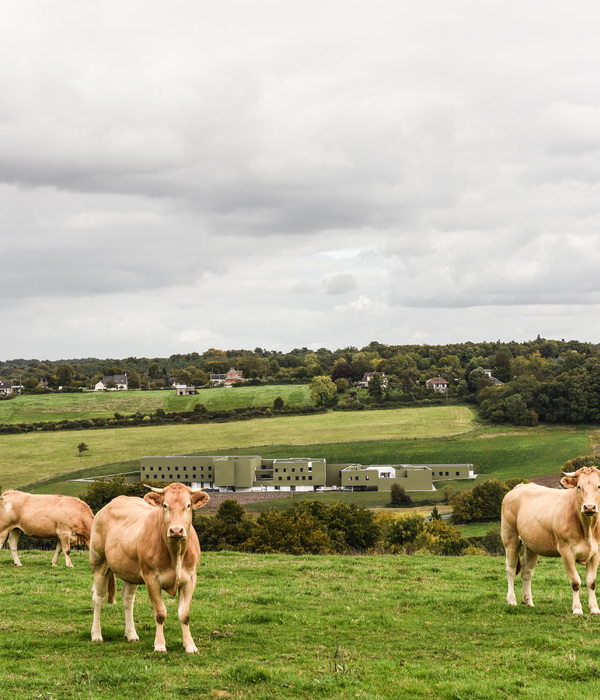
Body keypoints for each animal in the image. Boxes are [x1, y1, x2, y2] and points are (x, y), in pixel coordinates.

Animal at [89, 482, 211, 652]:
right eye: (165, 505)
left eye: (188, 505)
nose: (176, 530)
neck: (176, 553)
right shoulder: (151, 579)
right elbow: (160, 613)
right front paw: (159, 645)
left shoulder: (190, 579)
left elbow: (184, 614)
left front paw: (190, 646)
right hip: (99, 562)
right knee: (98, 598)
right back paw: (96, 634)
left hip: (131, 572)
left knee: (127, 599)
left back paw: (131, 634)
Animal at [504, 468, 600, 616]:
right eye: (579, 486)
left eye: (599, 486)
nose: (589, 507)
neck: (587, 528)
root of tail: (520, 486)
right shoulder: (566, 551)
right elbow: (575, 581)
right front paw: (577, 609)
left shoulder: (596, 552)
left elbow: (592, 581)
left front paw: (594, 608)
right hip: (510, 537)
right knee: (511, 569)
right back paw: (511, 600)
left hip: (532, 545)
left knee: (527, 571)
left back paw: (528, 601)